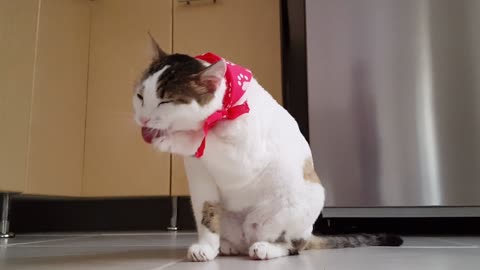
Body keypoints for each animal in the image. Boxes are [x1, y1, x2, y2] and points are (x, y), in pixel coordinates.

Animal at [132, 35, 402, 262]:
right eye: (140, 96)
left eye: (166, 101)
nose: (143, 120)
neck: (224, 109)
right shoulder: (200, 179)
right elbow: (206, 214)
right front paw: (207, 247)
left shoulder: (244, 156)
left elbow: (206, 140)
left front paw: (171, 139)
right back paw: (227, 246)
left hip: (298, 207)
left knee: (294, 246)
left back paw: (266, 248)